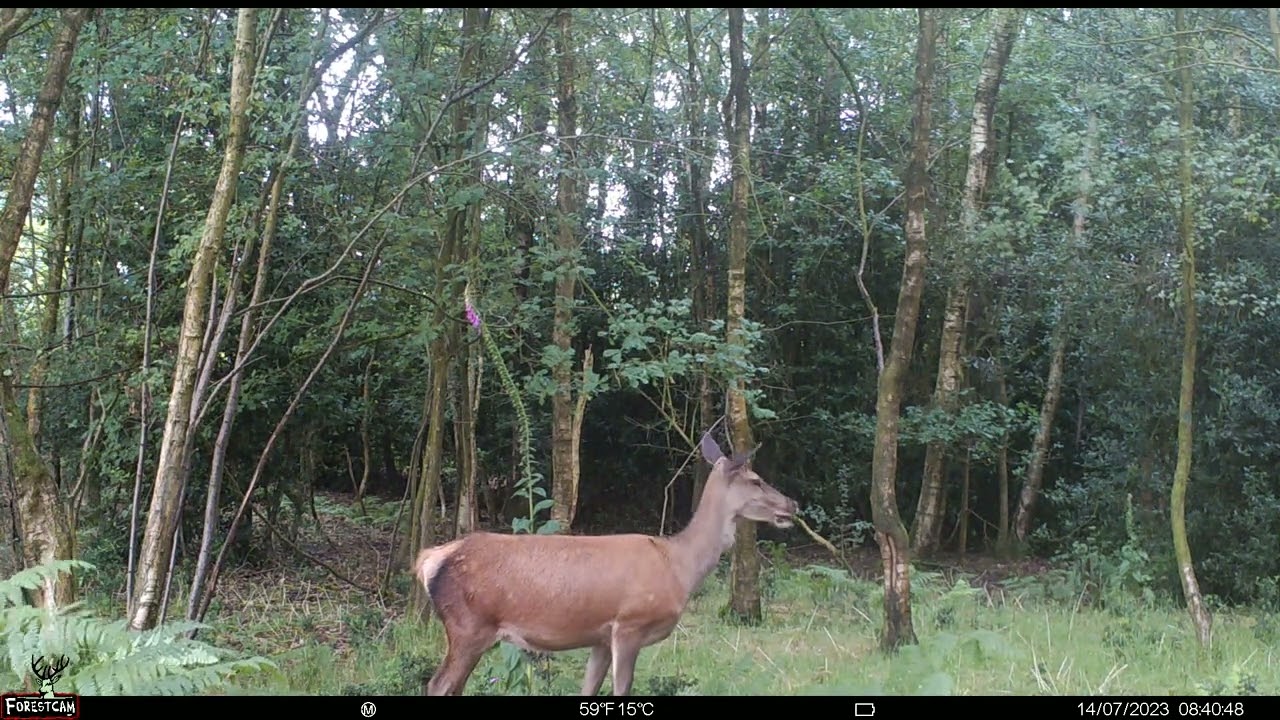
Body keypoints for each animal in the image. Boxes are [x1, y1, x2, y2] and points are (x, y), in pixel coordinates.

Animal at [415, 431, 800, 696]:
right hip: (468, 626)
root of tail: (430, 559)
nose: (792, 504)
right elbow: (621, 689)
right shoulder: (629, 624)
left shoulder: (600, 636)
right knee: (437, 684)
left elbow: (588, 689)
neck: (678, 566)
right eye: (756, 480)